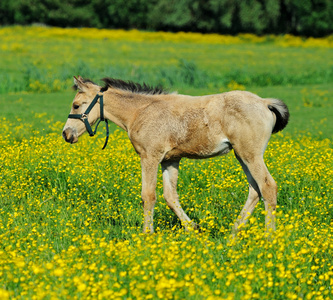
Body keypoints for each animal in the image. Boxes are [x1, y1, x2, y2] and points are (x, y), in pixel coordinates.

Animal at [62, 77, 288, 234]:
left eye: (76, 105)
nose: (66, 134)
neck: (140, 111)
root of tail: (265, 102)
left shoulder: (150, 157)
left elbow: (148, 196)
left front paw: (147, 234)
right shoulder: (170, 160)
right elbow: (170, 196)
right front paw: (193, 228)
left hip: (250, 155)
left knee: (268, 186)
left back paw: (269, 236)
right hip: (242, 156)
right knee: (255, 190)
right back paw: (233, 233)